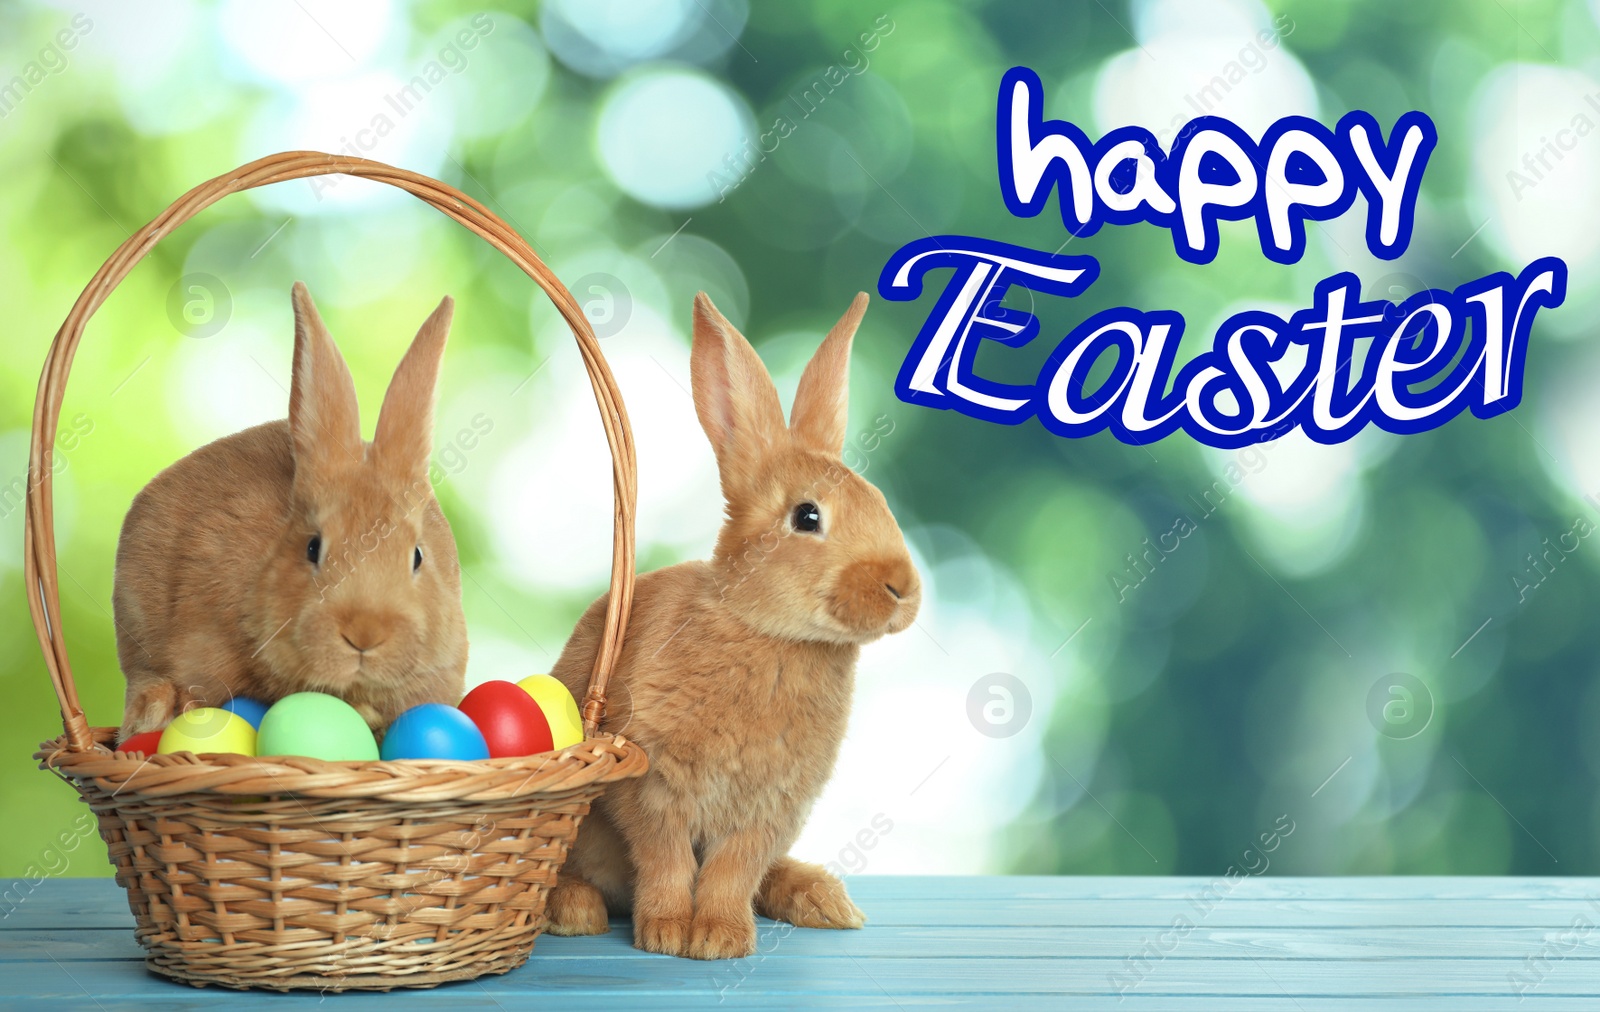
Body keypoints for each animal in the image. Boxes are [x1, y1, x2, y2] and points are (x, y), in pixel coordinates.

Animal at [547, 289, 921, 954]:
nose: (901, 587)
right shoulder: (652, 787)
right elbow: (666, 860)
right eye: (807, 516)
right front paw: (669, 933)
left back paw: (823, 900)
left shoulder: (772, 809)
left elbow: (732, 870)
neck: (766, 631)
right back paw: (575, 910)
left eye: (880, 501)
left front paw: (721, 938)